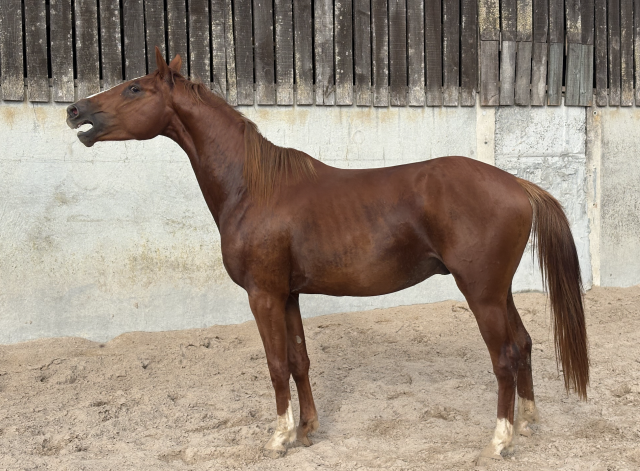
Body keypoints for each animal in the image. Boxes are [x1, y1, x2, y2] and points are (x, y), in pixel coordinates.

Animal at [66, 47, 589, 464]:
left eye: (134, 88)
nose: (74, 111)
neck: (254, 187)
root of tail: (517, 184)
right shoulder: (289, 295)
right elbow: (299, 360)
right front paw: (307, 430)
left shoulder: (263, 295)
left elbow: (276, 364)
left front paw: (279, 438)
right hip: (499, 292)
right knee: (523, 345)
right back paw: (527, 424)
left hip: (481, 294)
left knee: (504, 356)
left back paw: (499, 441)